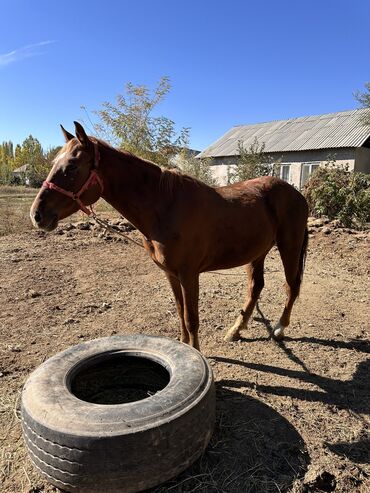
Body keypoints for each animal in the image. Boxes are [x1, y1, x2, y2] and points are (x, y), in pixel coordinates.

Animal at [30, 124, 310, 354]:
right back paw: (236, 330)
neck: (166, 206)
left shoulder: (189, 275)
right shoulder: (170, 274)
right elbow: (180, 312)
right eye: (55, 163)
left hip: (289, 247)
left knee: (291, 285)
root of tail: (297, 194)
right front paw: (185, 347)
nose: (37, 215)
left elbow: (191, 317)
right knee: (256, 288)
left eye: (72, 167)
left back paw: (280, 328)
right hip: (257, 253)